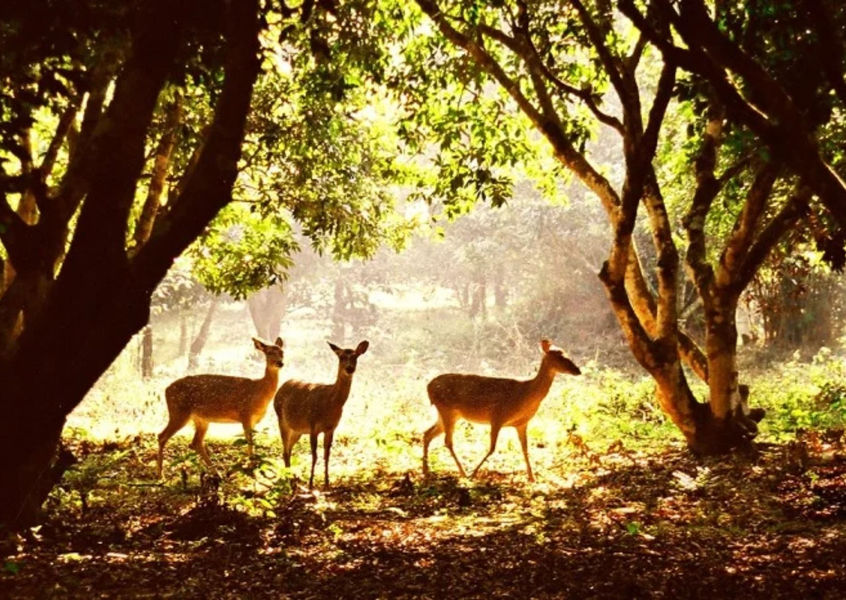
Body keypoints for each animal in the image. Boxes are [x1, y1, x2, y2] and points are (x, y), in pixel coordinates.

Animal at [156, 337, 285, 477]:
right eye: (269, 352)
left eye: (282, 352)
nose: (280, 363)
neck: (259, 391)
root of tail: (166, 390)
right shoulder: (245, 413)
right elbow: (249, 442)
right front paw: (251, 469)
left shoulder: (254, 421)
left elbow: (250, 442)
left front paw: (241, 468)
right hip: (178, 412)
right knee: (161, 436)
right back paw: (160, 474)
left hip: (201, 419)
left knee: (195, 442)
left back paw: (216, 472)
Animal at [274, 340, 369, 488]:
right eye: (341, 357)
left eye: (355, 357)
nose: (349, 368)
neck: (331, 403)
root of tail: (281, 387)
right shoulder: (313, 426)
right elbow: (315, 455)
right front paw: (311, 483)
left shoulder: (331, 428)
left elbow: (327, 455)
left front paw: (327, 482)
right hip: (281, 420)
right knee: (285, 450)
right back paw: (290, 481)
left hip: (297, 430)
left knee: (288, 450)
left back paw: (293, 479)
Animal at [423, 339, 581, 482]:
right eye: (560, 357)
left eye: (567, 354)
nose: (578, 370)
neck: (525, 394)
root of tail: (428, 387)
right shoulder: (497, 416)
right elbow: (492, 448)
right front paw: (474, 474)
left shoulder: (521, 423)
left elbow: (525, 449)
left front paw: (532, 477)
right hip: (447, 409)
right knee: (447, 441)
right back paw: (463, 473)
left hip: (450, 414)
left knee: (427, 433)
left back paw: (426, 470)